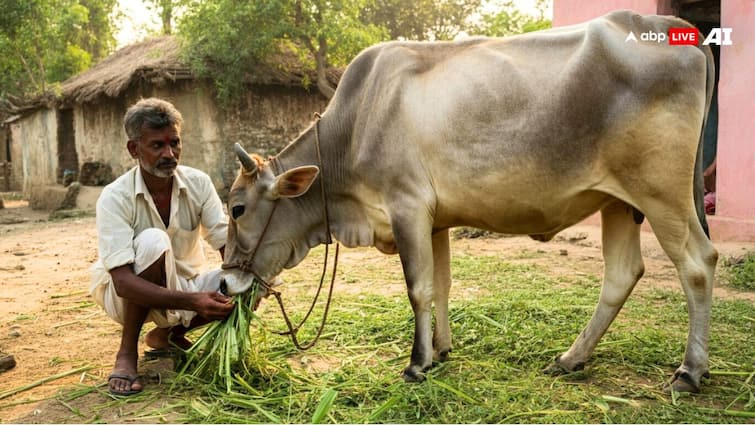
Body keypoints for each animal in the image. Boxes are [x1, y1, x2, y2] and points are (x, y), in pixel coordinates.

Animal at [220, 9, 720, 392]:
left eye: (238, 208)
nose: (224, 282)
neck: (355, 126)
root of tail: (675, 27)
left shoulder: (406, 207)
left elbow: (418, 288)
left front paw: (416, 363)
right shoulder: (435, 220)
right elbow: (440, 285)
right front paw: (440, 350)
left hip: (662, 194)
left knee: (698, 264)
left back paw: (689, 371)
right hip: (617, 201)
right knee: (621, 274)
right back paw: (570, 358)